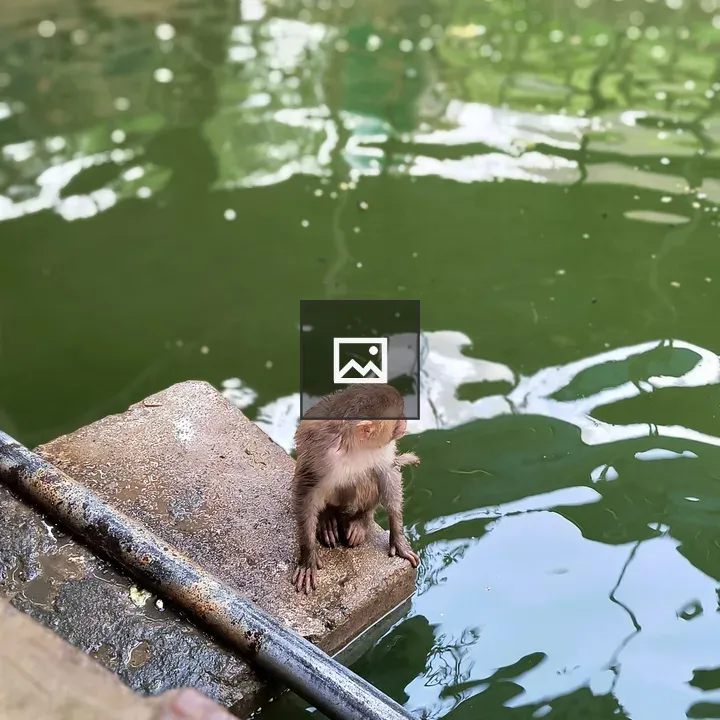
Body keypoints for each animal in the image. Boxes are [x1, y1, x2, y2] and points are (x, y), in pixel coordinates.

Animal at [291, 384, 420, 594]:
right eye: (397, 417)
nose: (404, 422)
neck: (352, 445)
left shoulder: (382, 447)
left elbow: (388, 472)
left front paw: (398, 538)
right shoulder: (320, 453)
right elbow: (306, 491)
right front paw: (307, 557)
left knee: (368, 476)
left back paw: (361, 519)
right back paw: (327, 518)